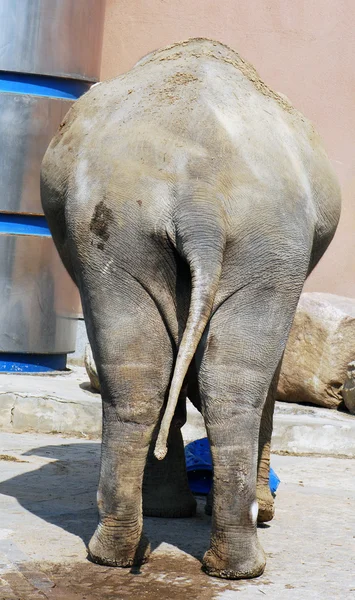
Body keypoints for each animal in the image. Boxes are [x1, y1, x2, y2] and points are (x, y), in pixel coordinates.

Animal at [40, 38, 340, 580]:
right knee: (217, 384)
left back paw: (128, 552)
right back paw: (226, 555)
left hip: (131, 235)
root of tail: (199, 199)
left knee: (150, 378)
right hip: (254, 238)